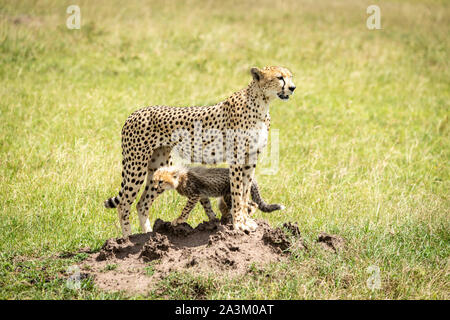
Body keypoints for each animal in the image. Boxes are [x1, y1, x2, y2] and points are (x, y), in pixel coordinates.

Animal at [105, 66, 296, 236]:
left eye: (290, 76)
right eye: (280, 77)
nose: (293, 88)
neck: (262, 103)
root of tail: (135, 113)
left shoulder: (251, 157)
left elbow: (245, 191)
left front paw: (245, 221)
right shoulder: (236, 158)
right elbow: (236, 191)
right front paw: (238, 224)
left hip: (159, 168)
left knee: (142, 203)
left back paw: (148, 235)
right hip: (136, 166)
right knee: (124, 204)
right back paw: (127, 239)